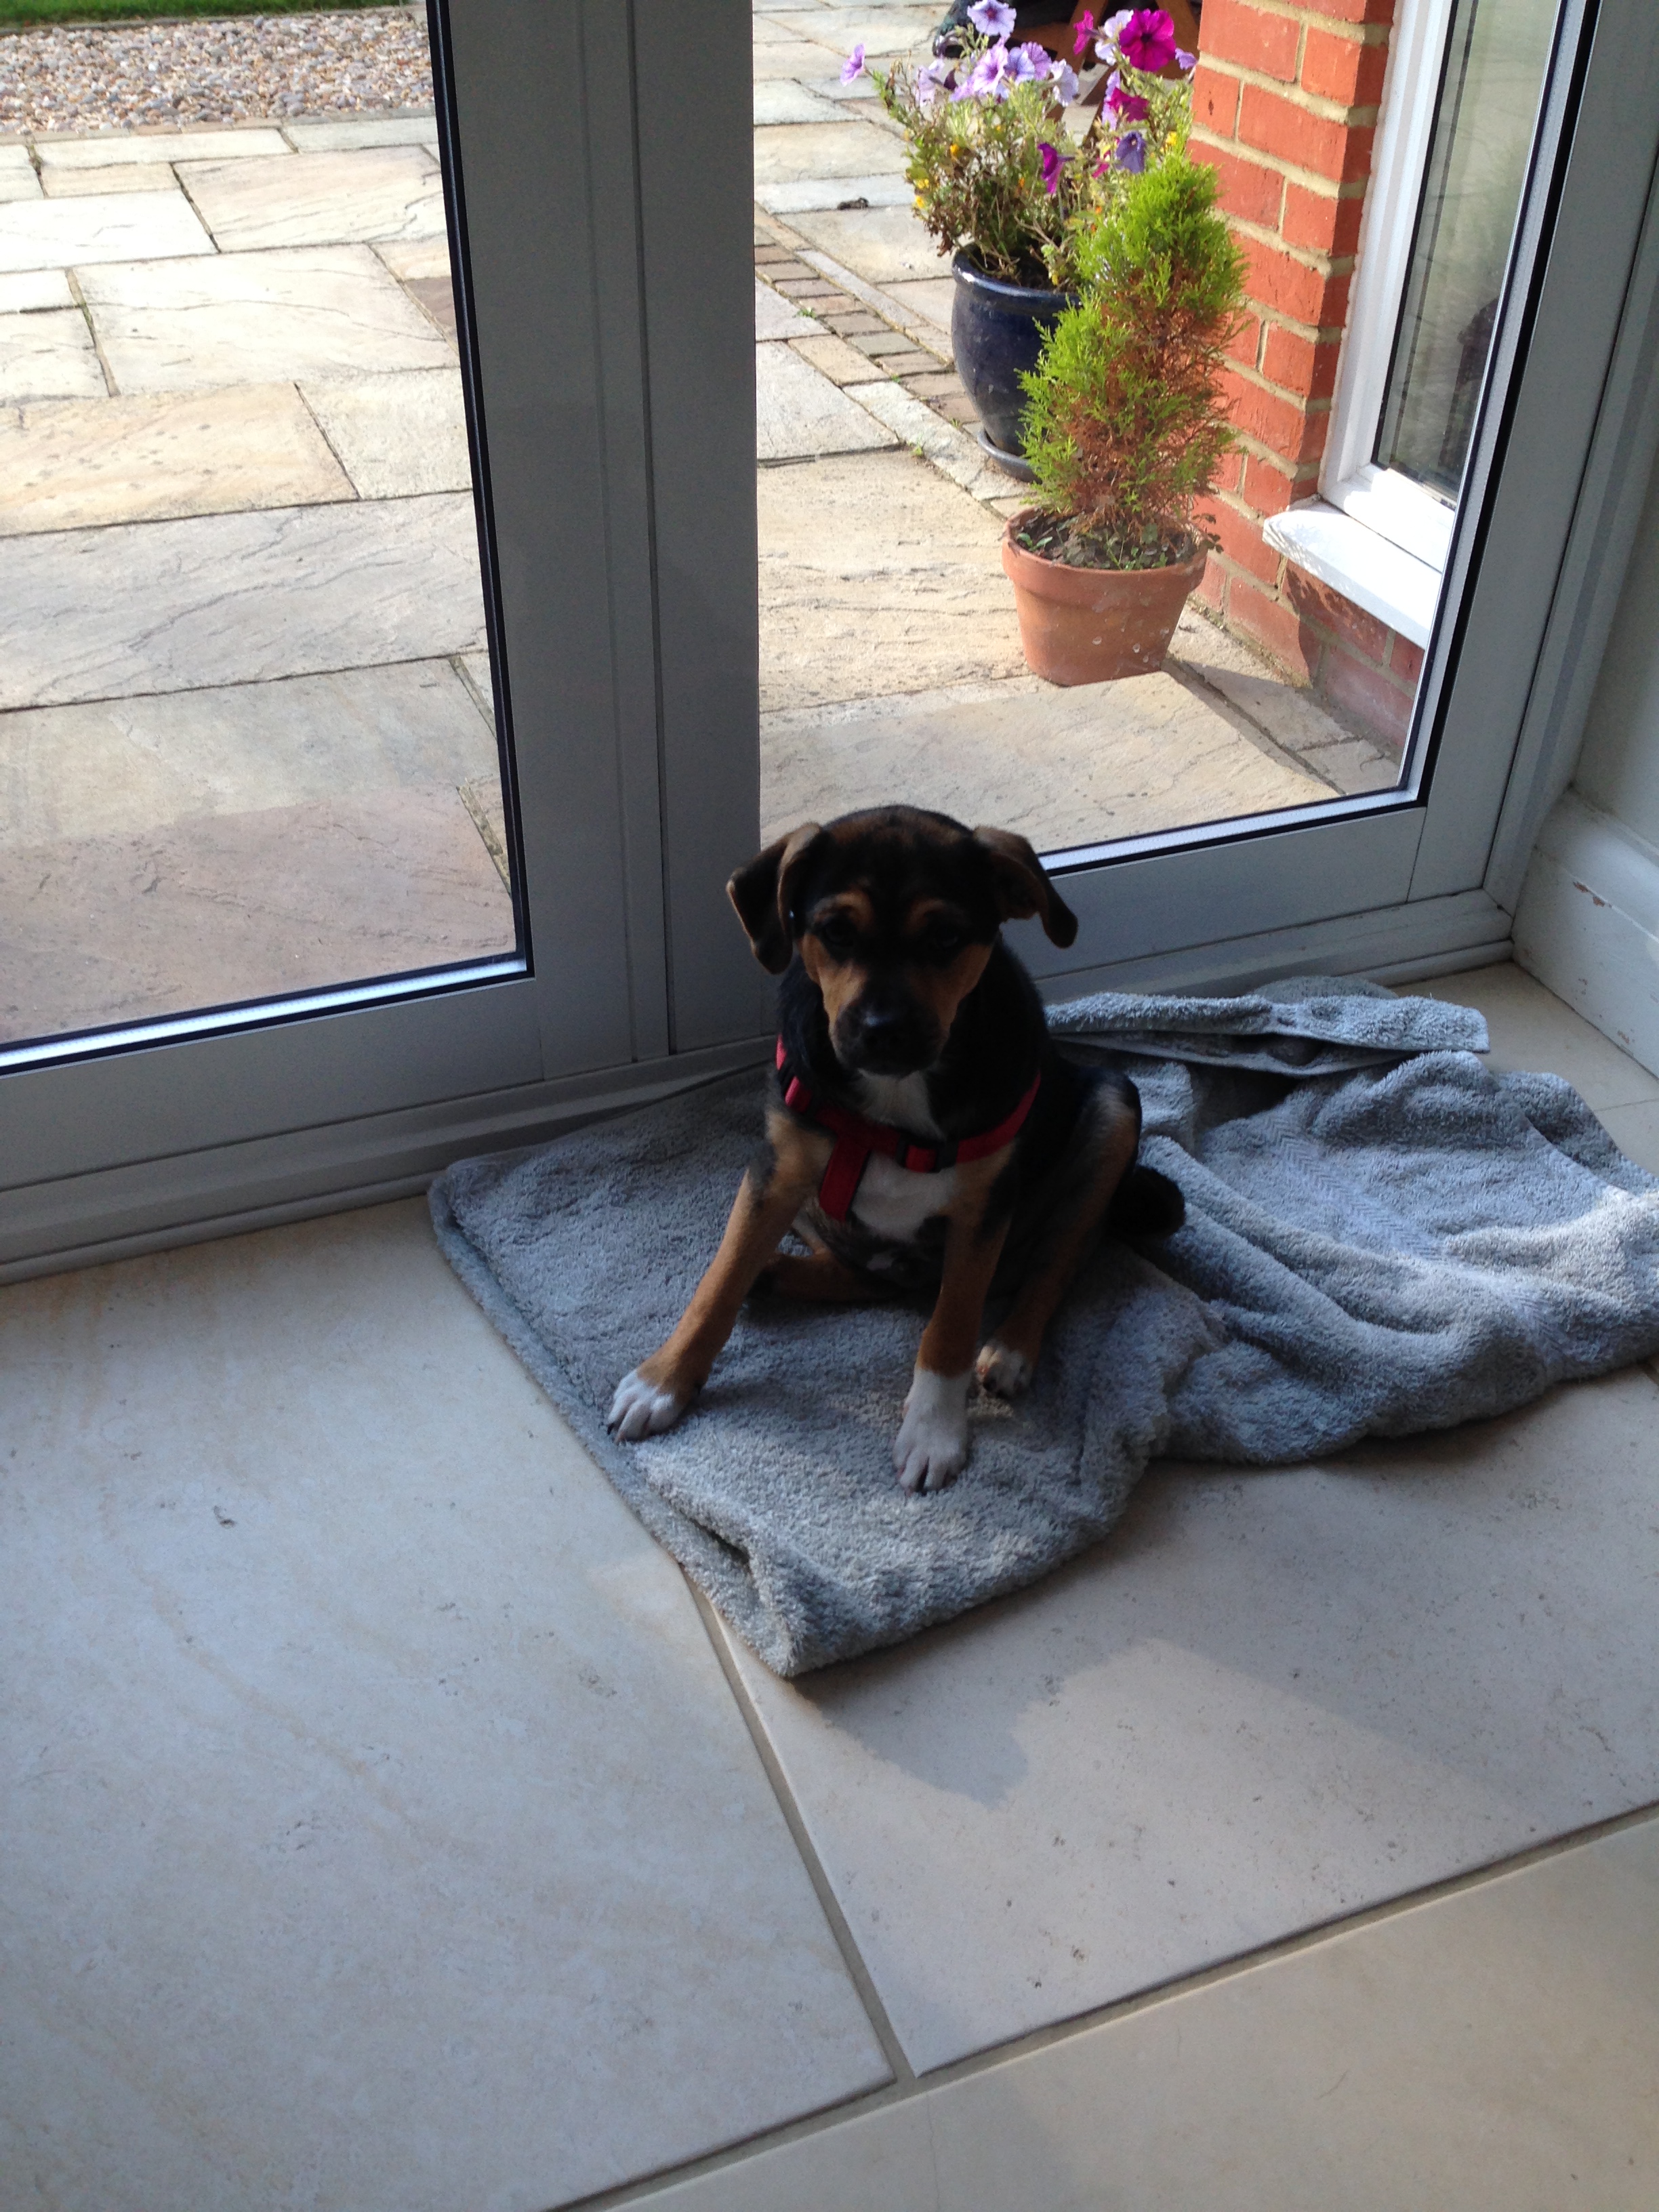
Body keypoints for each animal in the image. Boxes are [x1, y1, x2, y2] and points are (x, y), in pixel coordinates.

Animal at [607, 806, 1182, 1490]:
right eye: (835, 931)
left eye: (945, 938)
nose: (884, 1032)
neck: (897, 1098)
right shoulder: (775, 1168)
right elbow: (719, 1279)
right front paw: (663, 1381)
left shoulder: (984, 1207)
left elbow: (952, 1323)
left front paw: (933, 1430)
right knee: (867, 1275)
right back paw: (778, 1275)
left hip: (1115, 1108)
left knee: (1059, 1259)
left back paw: (1011, 1348)